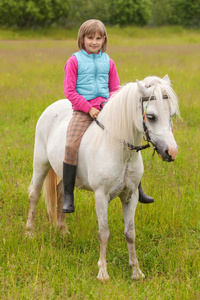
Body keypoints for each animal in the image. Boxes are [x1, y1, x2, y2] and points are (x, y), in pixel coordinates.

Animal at [26, 75, 180, 282]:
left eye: (172, 113)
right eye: (151, 117)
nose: (171, 152)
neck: (118, 149)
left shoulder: (130, 196)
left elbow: (130, 233)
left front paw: (136, 271)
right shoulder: (101, 196)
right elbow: (104, 233)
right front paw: (103, 273)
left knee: (61, 194)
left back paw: (63, 231)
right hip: (41, 163)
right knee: (34, 194)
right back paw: (29, 233)